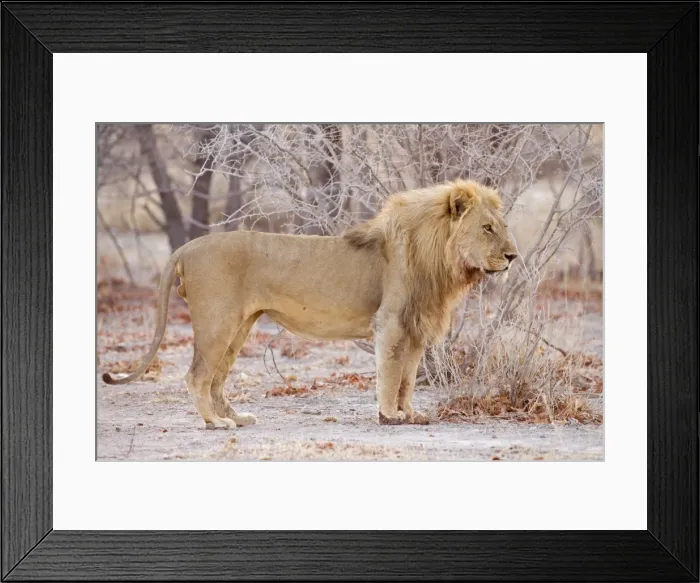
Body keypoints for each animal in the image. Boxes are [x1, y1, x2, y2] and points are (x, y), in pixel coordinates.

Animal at [103, 180, 518, 428]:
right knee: (196, 376)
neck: (440, 258)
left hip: (239, 326)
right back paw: (215, 423)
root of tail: (187, 247)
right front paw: (388, 415)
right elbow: (389, 375)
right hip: (217, 323)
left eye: (503, 226)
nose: (513, 256)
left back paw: (238, 417)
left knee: (216, 379)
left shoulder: (416, 328)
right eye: (487, 228)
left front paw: (410, 413)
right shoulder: (390, 323)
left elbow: (408, 379)